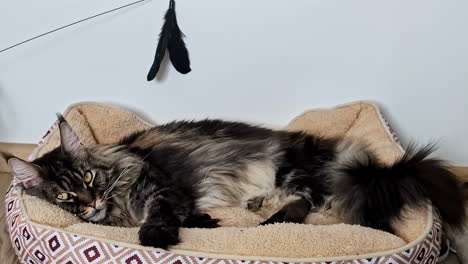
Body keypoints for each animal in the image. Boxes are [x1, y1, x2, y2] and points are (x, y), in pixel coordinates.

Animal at [2, 115, 464, 250]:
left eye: (89, 176)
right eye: (64, 195)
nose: (90, 201)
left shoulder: (161, 188)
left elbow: (160, 215)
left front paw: (156, 236)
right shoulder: (179, 198)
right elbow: (188, 216)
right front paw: (204, 222)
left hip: (295, 173)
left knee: (307, 205)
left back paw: (267, 221)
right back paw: (258, 207)